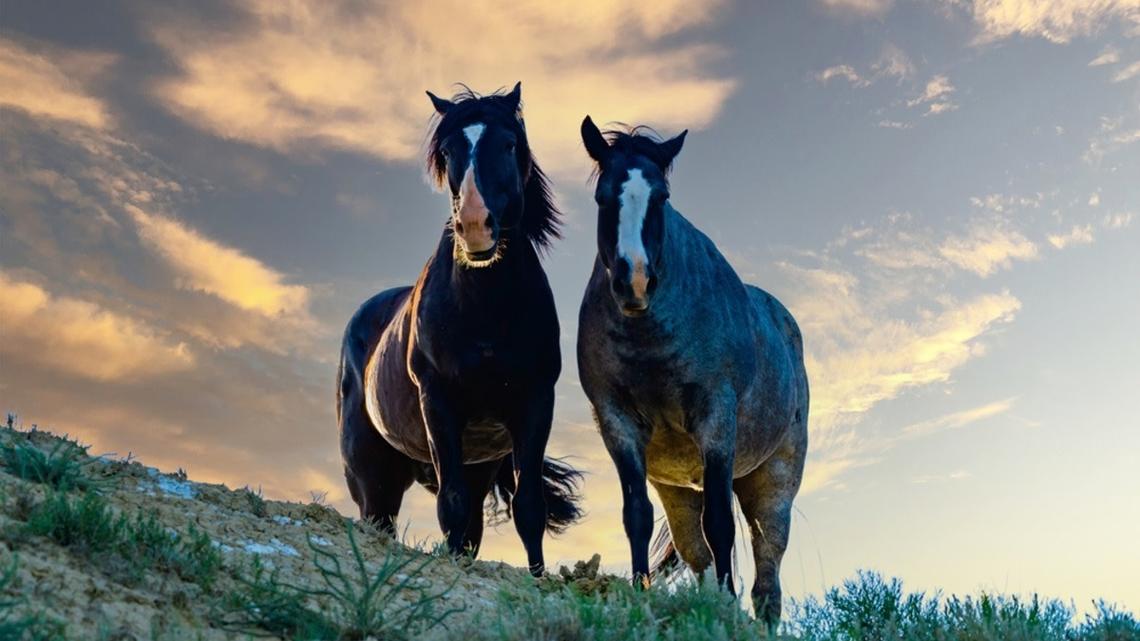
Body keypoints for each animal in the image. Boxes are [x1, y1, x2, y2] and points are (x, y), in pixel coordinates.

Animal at [337, 83, 583, 576]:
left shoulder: (534, 403)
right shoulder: (440, 403)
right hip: (371, 473)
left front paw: (537, 578)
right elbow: (450, 505)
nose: (474, 226)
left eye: (507, 144)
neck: (484, 311)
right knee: (381, 517)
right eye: (449, 151)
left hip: (477, 466)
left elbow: (528, 508)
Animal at [576, 116, 809, 627]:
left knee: (767, 569)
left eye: (661, 196)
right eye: (603, 195)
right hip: (677, 489)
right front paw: (641, 593)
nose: (634, 281)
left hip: (774, 480)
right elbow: (637, 516)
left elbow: (720, 524)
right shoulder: (617, 423)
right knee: (696, 550)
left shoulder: (715, 419)